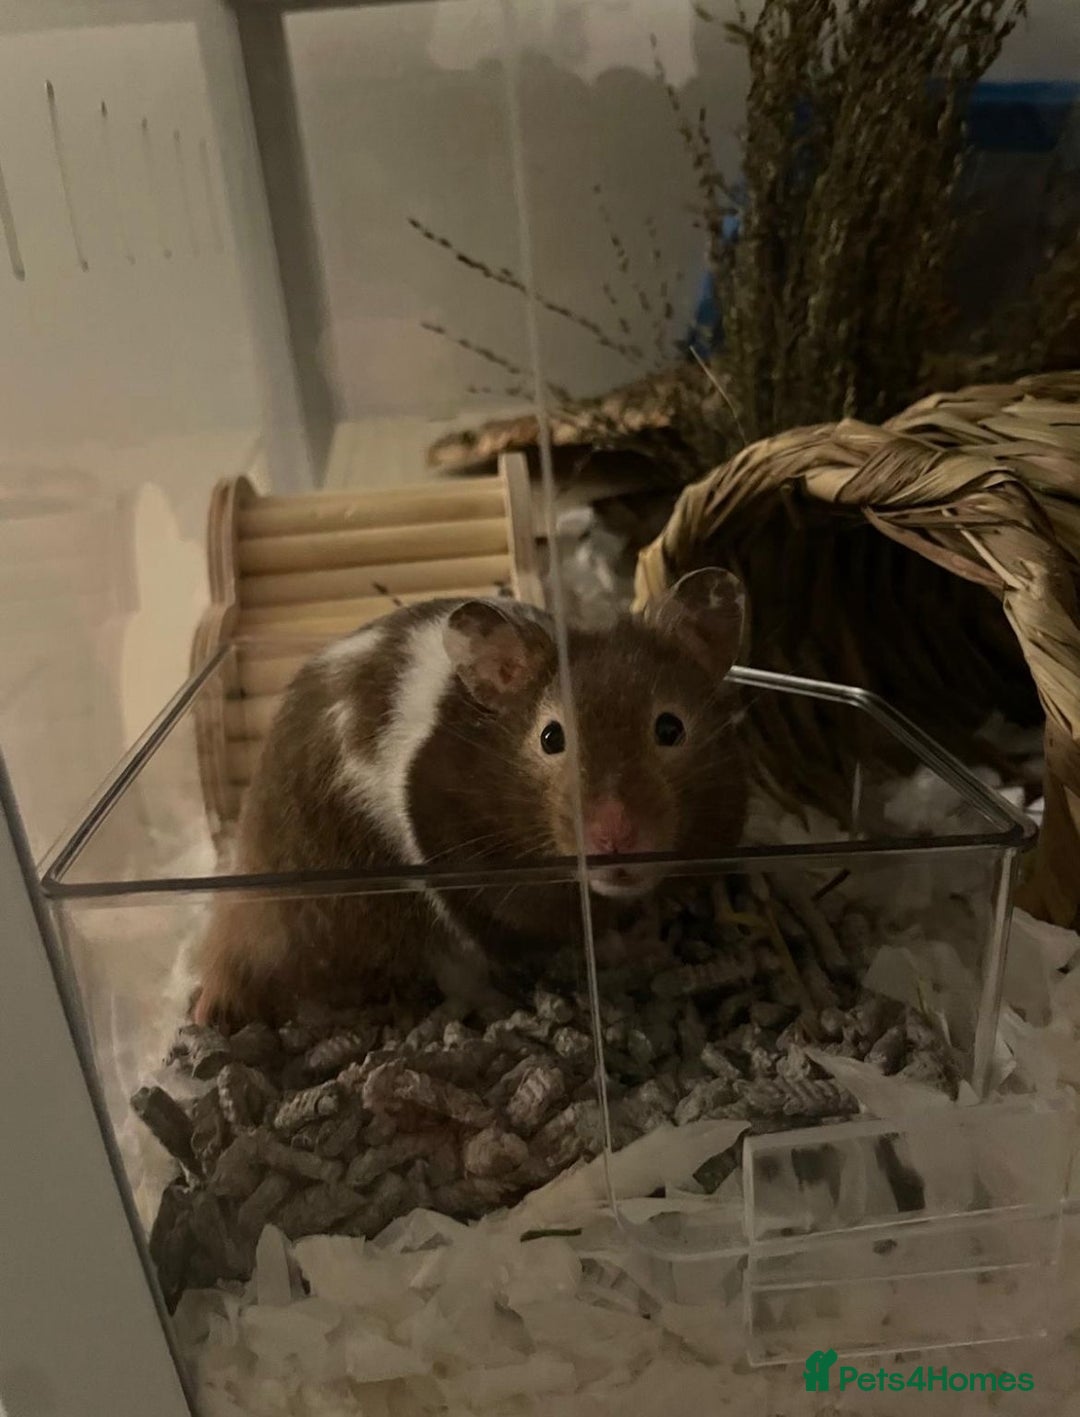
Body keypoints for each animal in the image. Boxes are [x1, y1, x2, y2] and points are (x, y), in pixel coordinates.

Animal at [192, 567, 747, 1028]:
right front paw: (634, 948)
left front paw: (657, 932)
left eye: (670, 728)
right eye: (551, 737)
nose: (614, 839)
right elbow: (564, 938)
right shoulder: (473, 882)